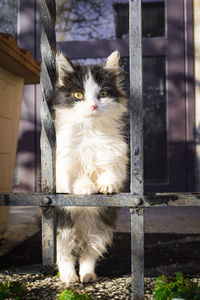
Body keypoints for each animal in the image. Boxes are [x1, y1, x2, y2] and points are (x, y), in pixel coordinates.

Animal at [53, 51, 128, 286]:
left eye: (102, 94)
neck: (90, 130)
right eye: (78, 94)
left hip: (100, 229)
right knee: (64, 254)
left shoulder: (115, 152)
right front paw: (86, 186)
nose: (94, 106)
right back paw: (69, 277)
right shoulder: (62, 162)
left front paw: (107, 184)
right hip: (62, 227)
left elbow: (110, 170)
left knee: (88, 253)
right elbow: (77, 174)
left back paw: (87, 275)